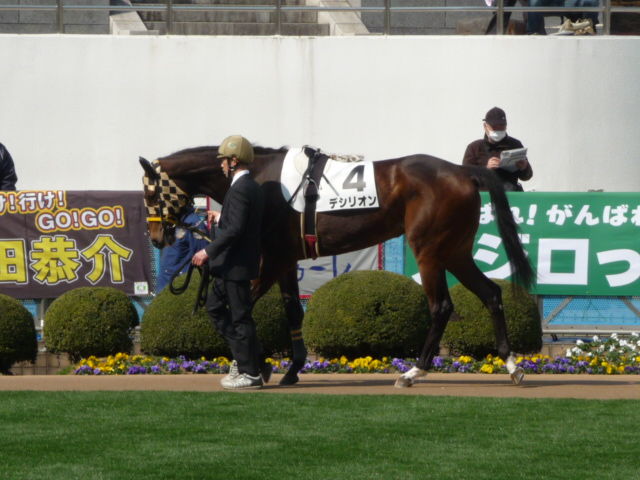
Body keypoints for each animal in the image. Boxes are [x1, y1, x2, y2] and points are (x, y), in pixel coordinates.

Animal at [140, 145, 534, 387]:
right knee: (491, 294)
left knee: (441, 307)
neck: (262, 177)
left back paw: (412, 372)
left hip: (429, 251)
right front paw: (290, 369)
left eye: (149, 192)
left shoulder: (272, 259)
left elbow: (244, 305)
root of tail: (462, 171)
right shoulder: (286, 259)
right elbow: (291, 312)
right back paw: (512, 366)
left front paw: (251, 367)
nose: (156, 236)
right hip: (455, 250)